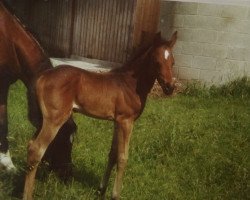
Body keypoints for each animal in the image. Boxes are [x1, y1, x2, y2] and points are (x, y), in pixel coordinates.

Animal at [23, 31, 176, 200]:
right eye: (157, 62)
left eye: (173, 62)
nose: (170, 87)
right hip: (54, 120)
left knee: (30, 146)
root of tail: (43, 77)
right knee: (37, 149)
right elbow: (122, 157)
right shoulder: (126, 121)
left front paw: (101, 190)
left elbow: (112, 154)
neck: (130, 83)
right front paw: (115, 195)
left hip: (45, 120)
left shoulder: (117, 121)